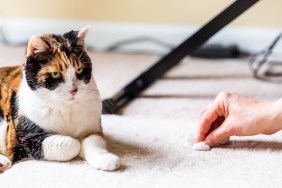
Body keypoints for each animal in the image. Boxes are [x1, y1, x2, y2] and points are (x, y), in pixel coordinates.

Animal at [0, 26, 120, 172]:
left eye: (79, 70)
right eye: (56, 74)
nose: (73, 90)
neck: (67, 109)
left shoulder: (93, 130)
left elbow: (94, 143)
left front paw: (107, 160)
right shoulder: (28, 138)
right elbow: (73, 144)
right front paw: (77, 144)